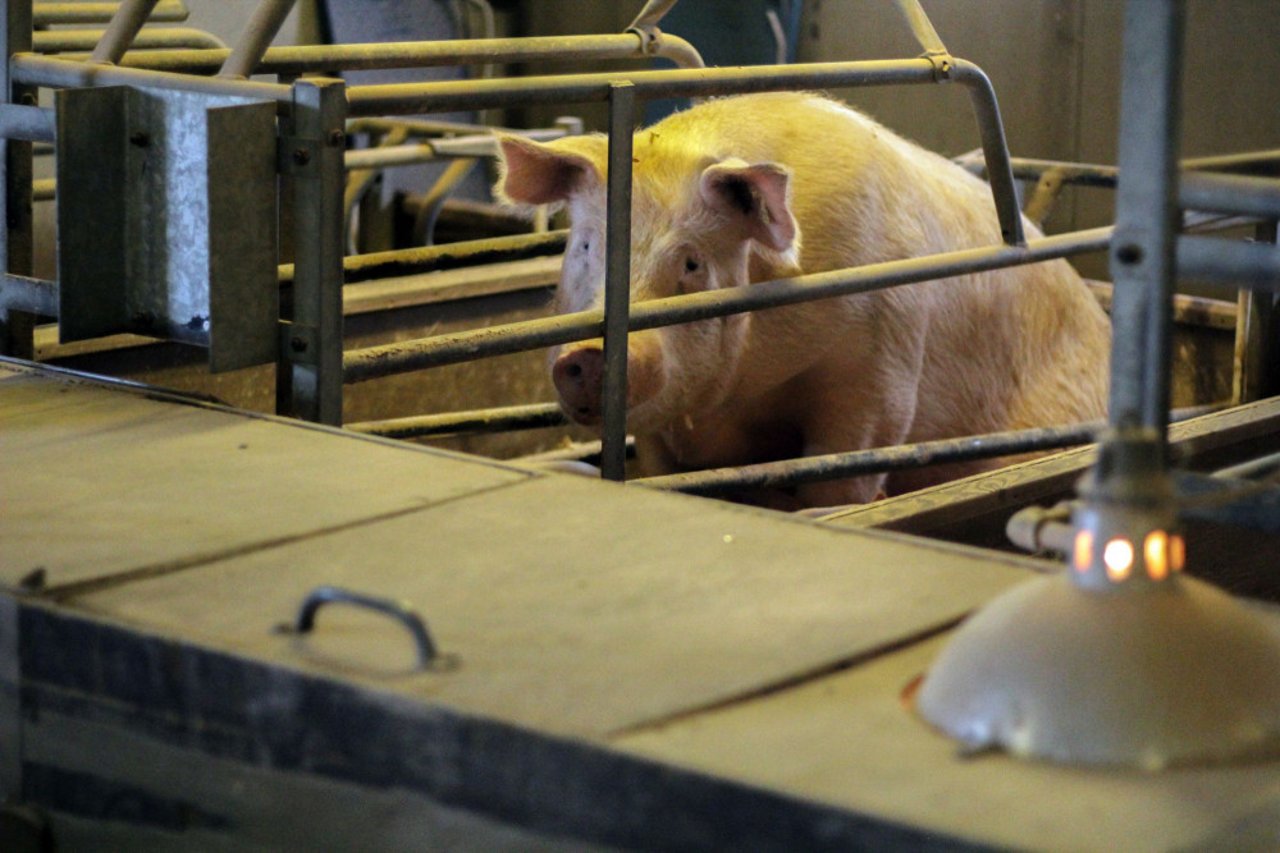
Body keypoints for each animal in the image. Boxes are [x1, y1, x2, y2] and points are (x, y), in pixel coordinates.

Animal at [499, 92, 1111, 504]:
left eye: (692, 262)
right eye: (584, 245)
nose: (585, 355)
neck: (744, 392)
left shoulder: (880, 372)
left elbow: (841, 475)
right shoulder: (658, 428)